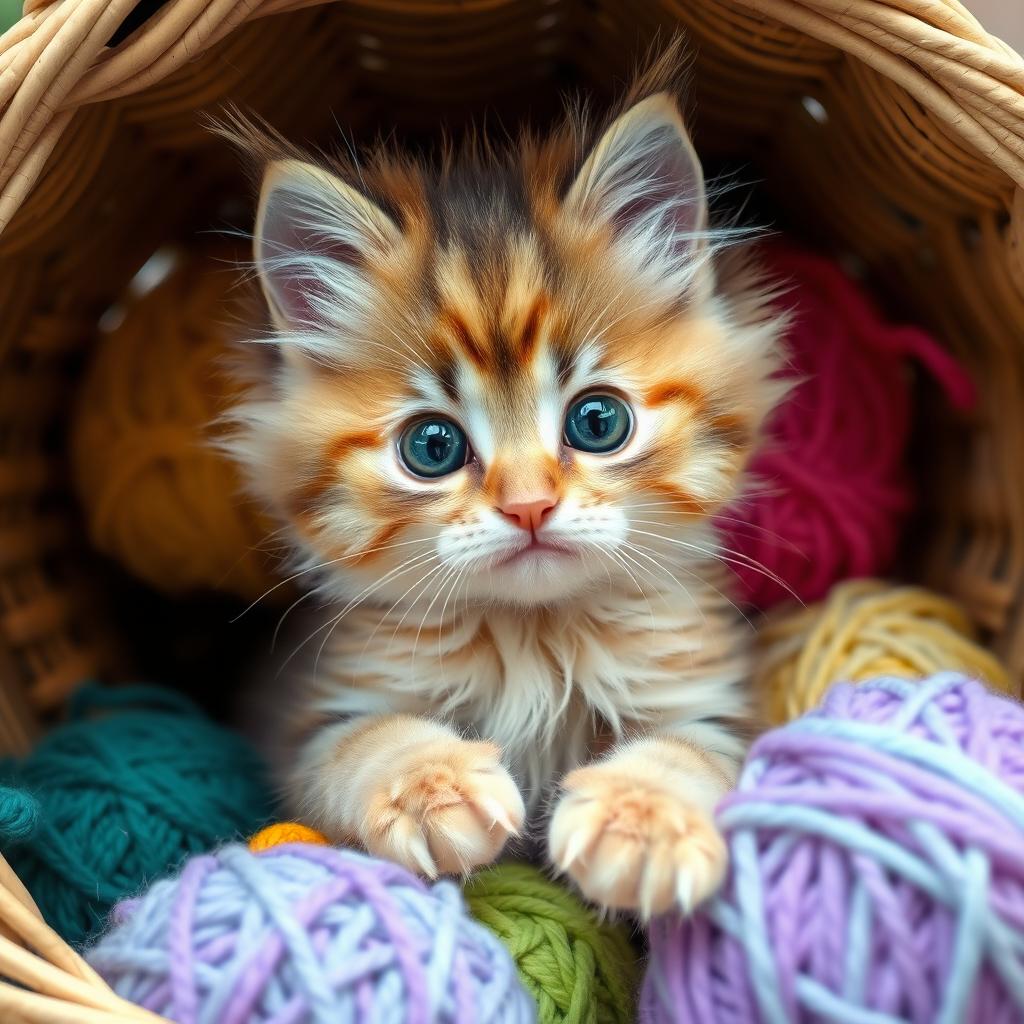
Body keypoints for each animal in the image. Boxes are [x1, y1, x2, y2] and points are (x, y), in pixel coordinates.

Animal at [228, 59, 786, 917]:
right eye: (432, 447)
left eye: (598, 421)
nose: (529, 505)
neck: (535, 640)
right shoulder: (312, 713)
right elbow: (367, 740)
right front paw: (430, 787)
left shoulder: (715, 704)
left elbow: (688, 752)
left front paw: (641, 820)